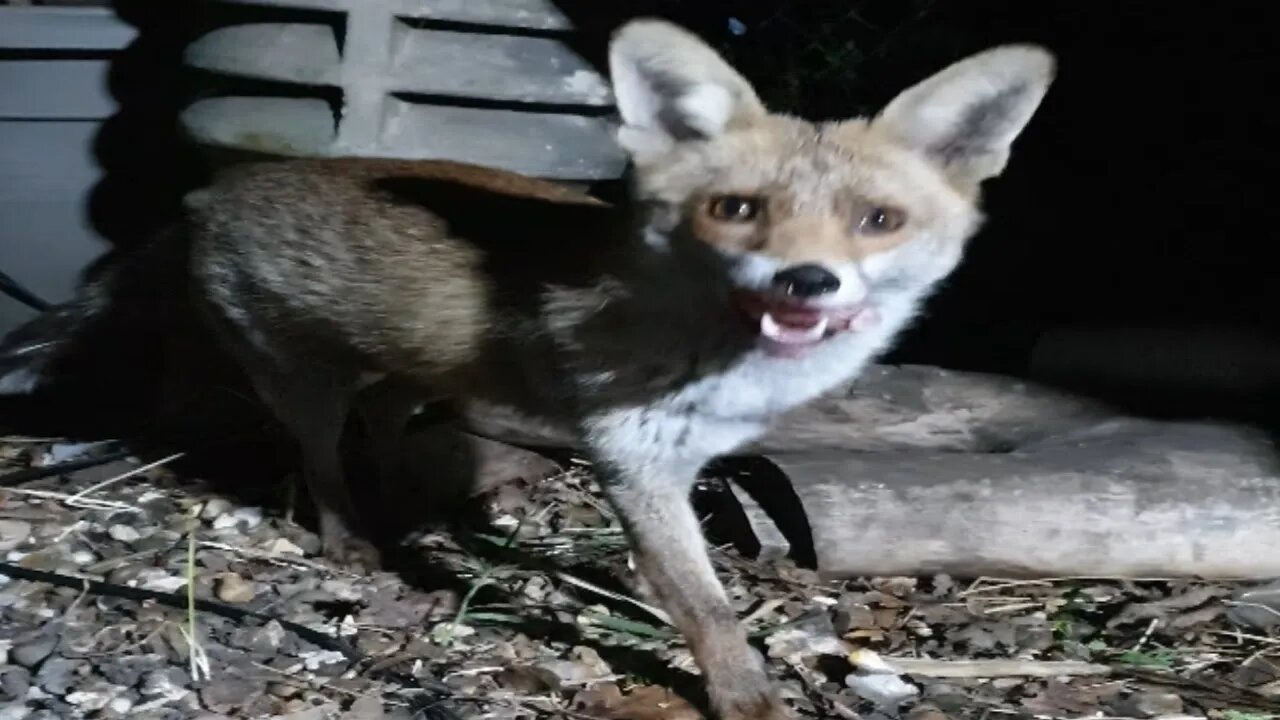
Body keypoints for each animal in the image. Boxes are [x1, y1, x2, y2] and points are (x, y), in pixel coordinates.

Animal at [0, 16, 1049, 717]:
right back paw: (351, 534)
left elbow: (684, 576)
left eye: (878, 220)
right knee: (323, 456)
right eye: (737, 209)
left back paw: (408, 501)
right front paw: (740, 691)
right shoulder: (633, 458)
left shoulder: (679, 462)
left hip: (420, 368)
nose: (808, 279)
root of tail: (214, 191)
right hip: (306, 384)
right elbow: (708, 609)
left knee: (388, 418)